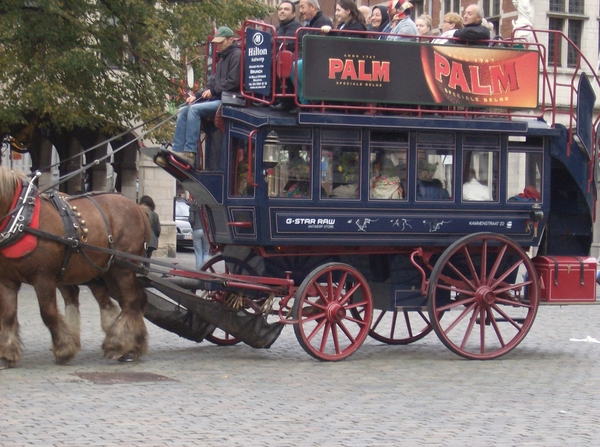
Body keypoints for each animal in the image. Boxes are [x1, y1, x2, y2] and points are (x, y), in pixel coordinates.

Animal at [0, 166, 150, 370]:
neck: (22, 218)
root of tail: (137, 207)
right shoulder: (7, 280)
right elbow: (8, 315)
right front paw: (8, 354)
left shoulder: (43, 278)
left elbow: (48, 313)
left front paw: (64, 349)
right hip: (109, 271)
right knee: (132, 302)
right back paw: (132, 346)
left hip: (123, 268)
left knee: (133, 300)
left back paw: (117, 344)